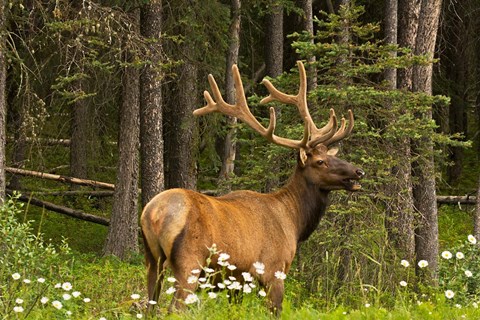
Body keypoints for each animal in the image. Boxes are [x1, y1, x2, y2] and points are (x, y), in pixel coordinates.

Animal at [141, 60, 366, 316]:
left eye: (332, 155)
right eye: (320, 162)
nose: (359, 172)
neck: (293, 221)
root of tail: (153, 214)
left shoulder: (237, 281)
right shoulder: (273, 270)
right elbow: (276, 310)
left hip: (152, 260)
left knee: (149, 305)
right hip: (189, 262)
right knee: (175, 308)